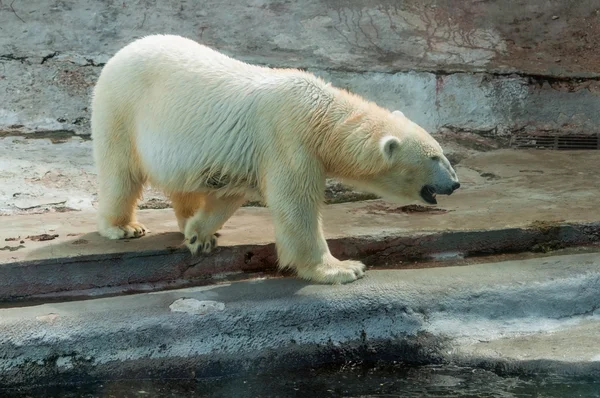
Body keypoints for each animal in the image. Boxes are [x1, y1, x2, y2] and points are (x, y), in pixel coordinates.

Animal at [90, 33, 460, 282]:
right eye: (434, 158)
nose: (455, 183)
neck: (320, 115)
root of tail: (122, 52)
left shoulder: (245, 154)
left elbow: (230, 192)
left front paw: (199, 234)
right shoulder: (287, 137)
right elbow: (296, 206)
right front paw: (343, 269)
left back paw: (187, 221)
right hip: (121, 107)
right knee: (120, 171)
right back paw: (124, 227)